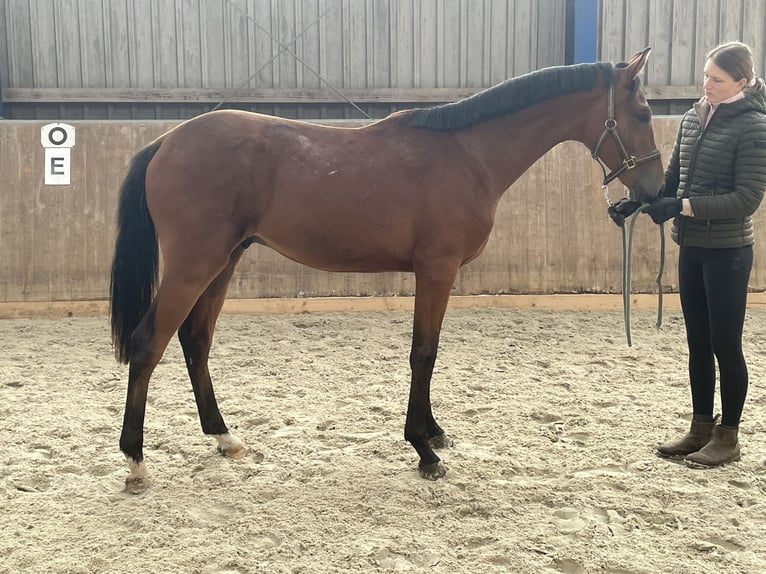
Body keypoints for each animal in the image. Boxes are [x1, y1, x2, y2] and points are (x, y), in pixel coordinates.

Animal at [109, 47, 664, 496]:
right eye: (641, 112)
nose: (656, 190)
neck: (466, 154)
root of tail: (165, 142)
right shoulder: (436, 270)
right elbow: (424, 353)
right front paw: (424, 450)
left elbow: (429, 353)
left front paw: (434, 432)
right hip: (195, 264)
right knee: (148, 343)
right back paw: (136, 462)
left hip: (224, 261)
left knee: (195, 340)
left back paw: (224, 437)